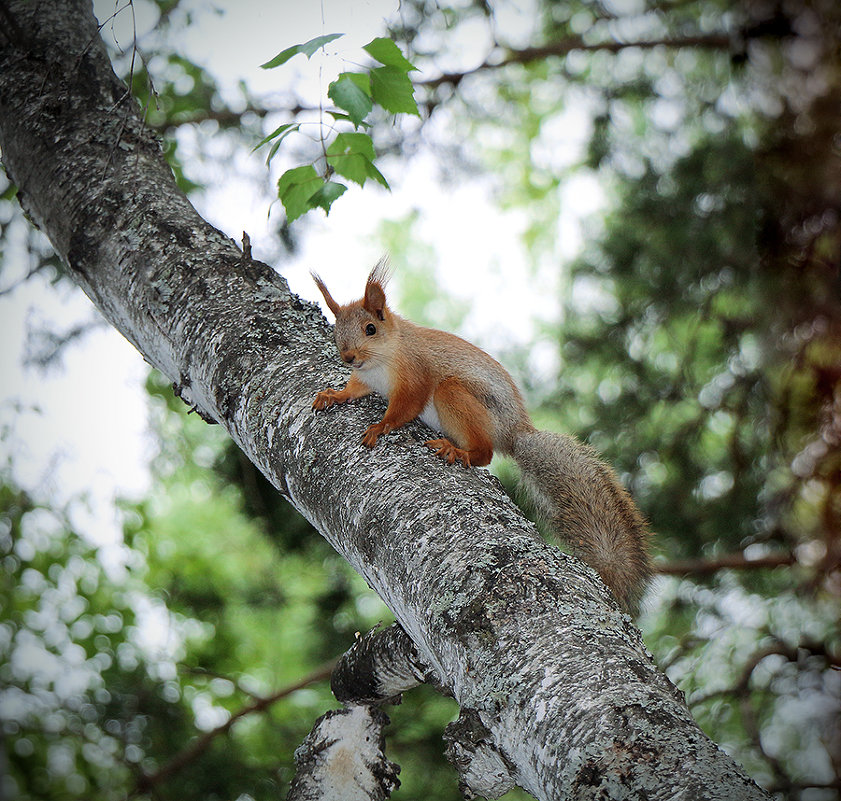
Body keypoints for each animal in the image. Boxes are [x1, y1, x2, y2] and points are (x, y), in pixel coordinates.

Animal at [312, 260, 648, 608]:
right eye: (336, 332)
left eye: (370, 329)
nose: (349, 357)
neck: (382, 360)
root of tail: (514, 433)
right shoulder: (365, 380)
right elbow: (353, 389)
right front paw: (333, 395)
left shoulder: (415, 375)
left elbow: (404, 408)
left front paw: (380, 426)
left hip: (454, 394)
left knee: (485, 453)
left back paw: (460, 451)